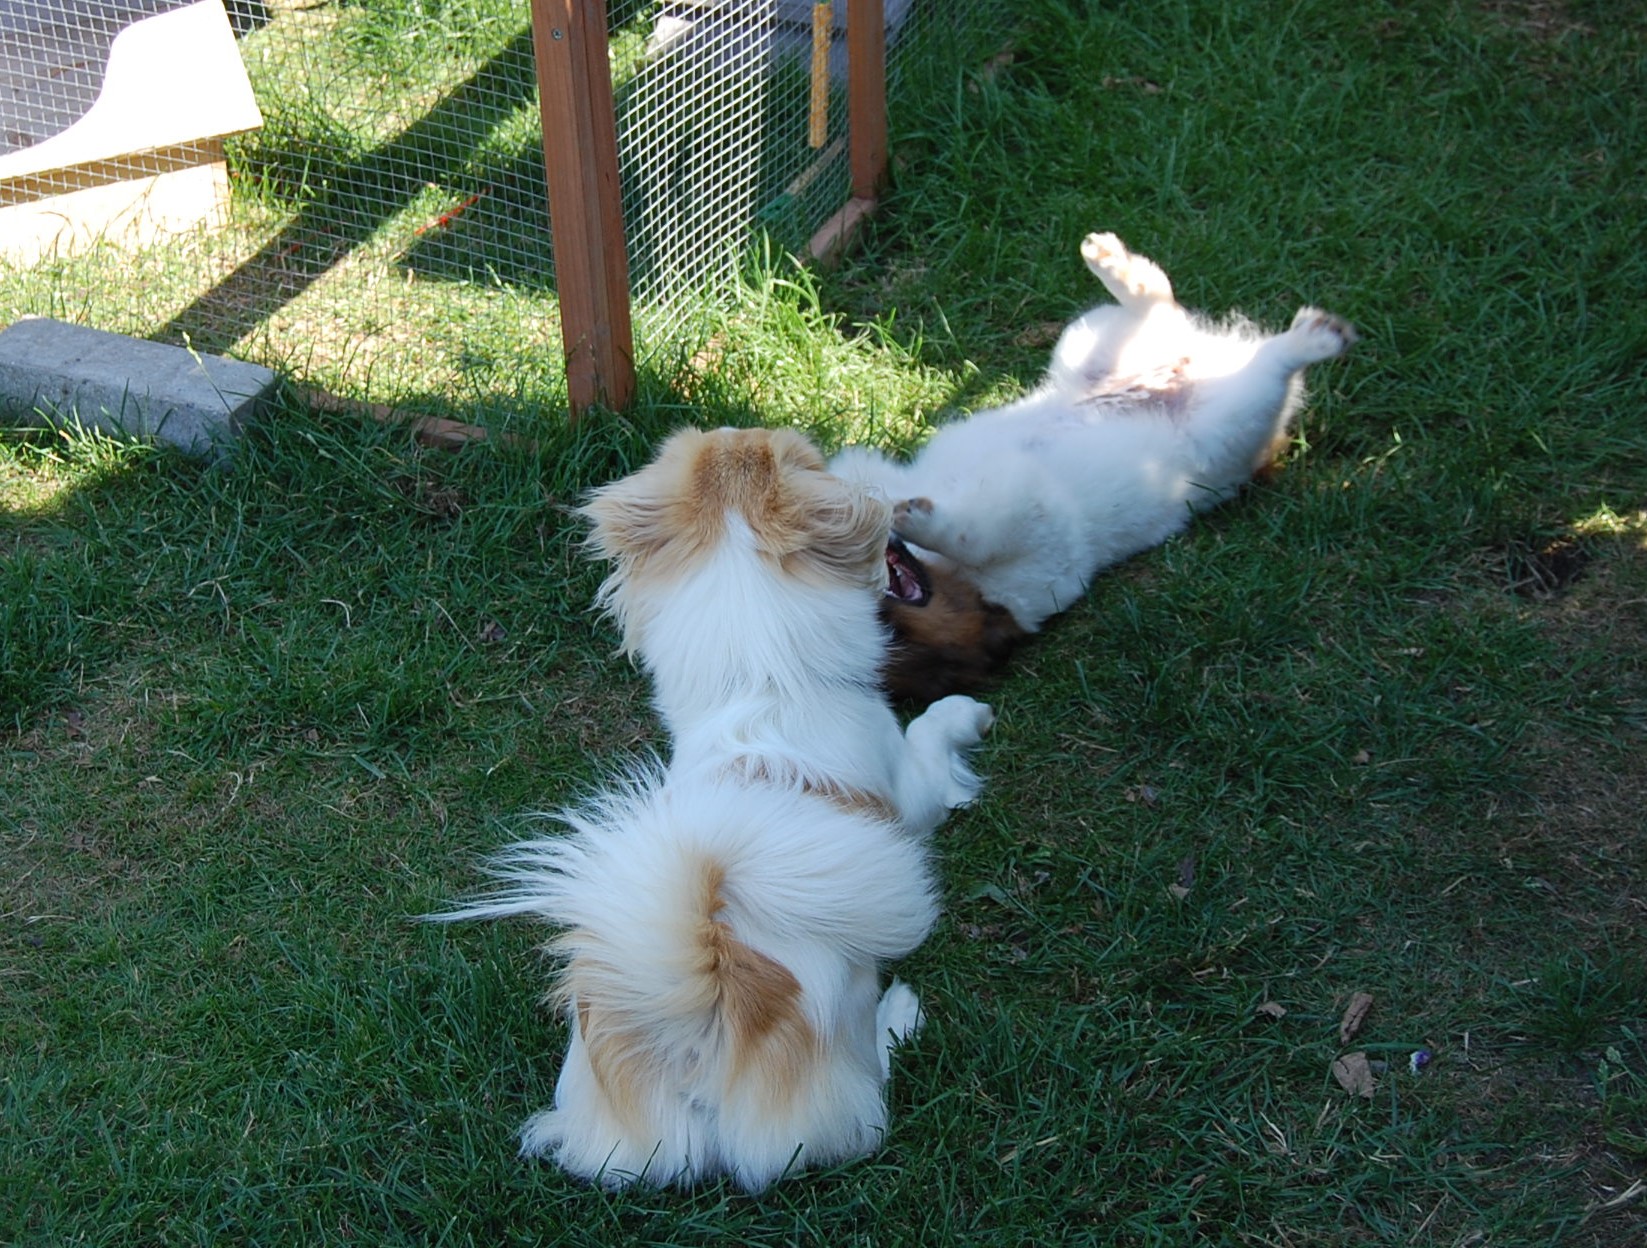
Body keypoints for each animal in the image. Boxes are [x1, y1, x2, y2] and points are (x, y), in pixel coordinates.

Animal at [436, 427, 994, 1190]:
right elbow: (933, 733)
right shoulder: (904, 783)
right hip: (845, 1085)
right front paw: (970, 713)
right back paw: (898, 1016)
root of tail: (692, 1028)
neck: (758, 680)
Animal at [838, 232, 1356, 703]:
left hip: (1088, 342)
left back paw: (1108, 258)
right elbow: (970, 534)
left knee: (1160, 308)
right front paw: (909, 513)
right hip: (1231, 421)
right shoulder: (1032, 544)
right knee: (1270, 362)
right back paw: (1318, 335)